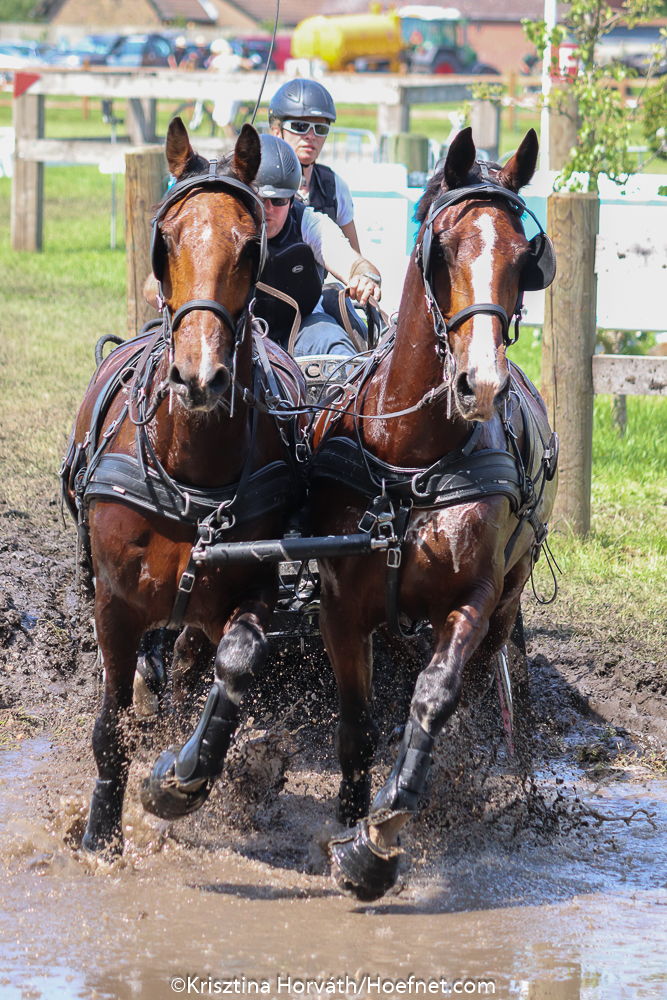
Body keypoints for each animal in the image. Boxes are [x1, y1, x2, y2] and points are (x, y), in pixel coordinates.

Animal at [60, 117, 306, 852]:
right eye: (164, 238)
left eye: (249, 244)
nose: (199, 377)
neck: (190, 469)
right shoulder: (114, 602)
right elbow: (110, 723)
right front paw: (100, 834)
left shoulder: (253, 585)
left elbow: (233, 664)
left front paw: (178, 781)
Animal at [310, 129, 560, 904]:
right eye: (443, 248)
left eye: (523, 257)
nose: (481, 383)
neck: (411, 462)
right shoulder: (339, 604)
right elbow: (356, 724)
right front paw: (349, 818)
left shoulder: (472, 598)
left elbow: (433, 699)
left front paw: (379, 837)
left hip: (506, 601)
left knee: (476, 689)